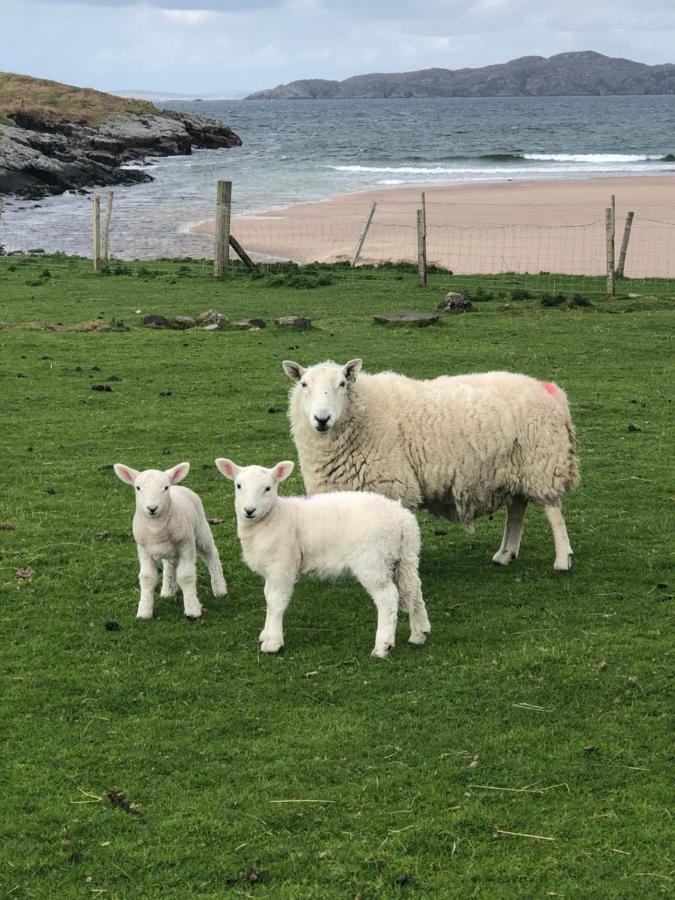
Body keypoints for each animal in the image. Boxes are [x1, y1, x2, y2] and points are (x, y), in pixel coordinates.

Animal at [112, 464, 226, 620]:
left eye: (165, 487)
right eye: (138, 488)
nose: (152, 508)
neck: (156, 528)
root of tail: (178, 486)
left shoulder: (186, 545)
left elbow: (186, 576)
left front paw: (192, 609)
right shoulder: (143, 549)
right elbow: (147, 577)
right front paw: (144, 612)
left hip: (201, 530)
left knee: (212, 555)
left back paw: (220, 588)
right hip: (170, 550)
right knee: (169, 565)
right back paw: (168, 590)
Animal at [214, 460, 430, 656]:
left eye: (268, 488)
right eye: (238, 486)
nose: (249, 510)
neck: (275, 516)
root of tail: (401, 518)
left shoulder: (282, 565)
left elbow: (275, 600)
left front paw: (273, 642)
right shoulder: (271, 569)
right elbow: (267, 596)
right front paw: (266, 633)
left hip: (372, 560)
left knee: (388, 597)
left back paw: (383, 645)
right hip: (406, 556)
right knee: (414, 589)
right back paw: (419, 633)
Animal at [282, 358, 580, 568]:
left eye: (343, 383)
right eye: (304, 385)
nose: (322, 419)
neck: (362, 414)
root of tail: (549, 390)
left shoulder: (390, 485)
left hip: (541, 462)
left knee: (553, 510)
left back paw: (562, 559)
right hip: (515, 468)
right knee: (517, 509)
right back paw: (505, 554)